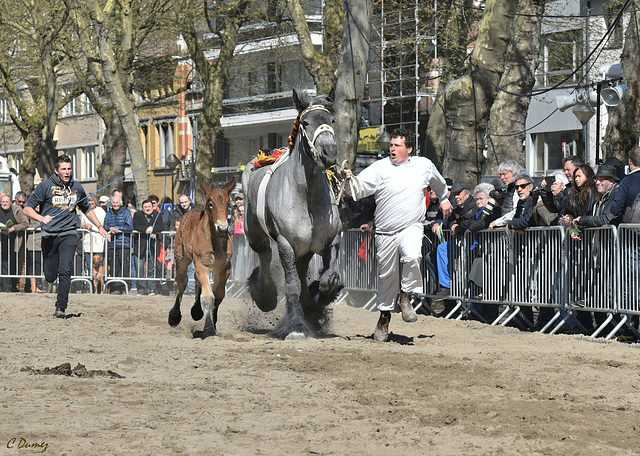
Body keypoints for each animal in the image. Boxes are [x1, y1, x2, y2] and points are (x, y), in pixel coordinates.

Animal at [242, 89, 342, 338]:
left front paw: (317, 303)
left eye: (331, 121)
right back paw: (265, 295)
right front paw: (296, 326)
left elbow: (328, 278)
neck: (306, 195)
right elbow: (293, 285)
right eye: (305, 123)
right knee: (265, 255)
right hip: (255, 234)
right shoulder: (286, 243)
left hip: (304, 250)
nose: (329, 152)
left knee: (300, 267)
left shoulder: (331, 240)